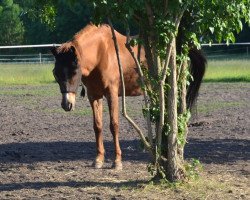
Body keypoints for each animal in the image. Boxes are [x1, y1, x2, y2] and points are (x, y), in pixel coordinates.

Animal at [50, 23, 205, 170]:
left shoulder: (112, 94)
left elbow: (114, 125)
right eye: (55, 73)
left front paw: (117, 161)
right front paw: (98, 159)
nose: (66, 104)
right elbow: (97, 126)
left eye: (74, 72)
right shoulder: (94, 96)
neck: (101, 53)